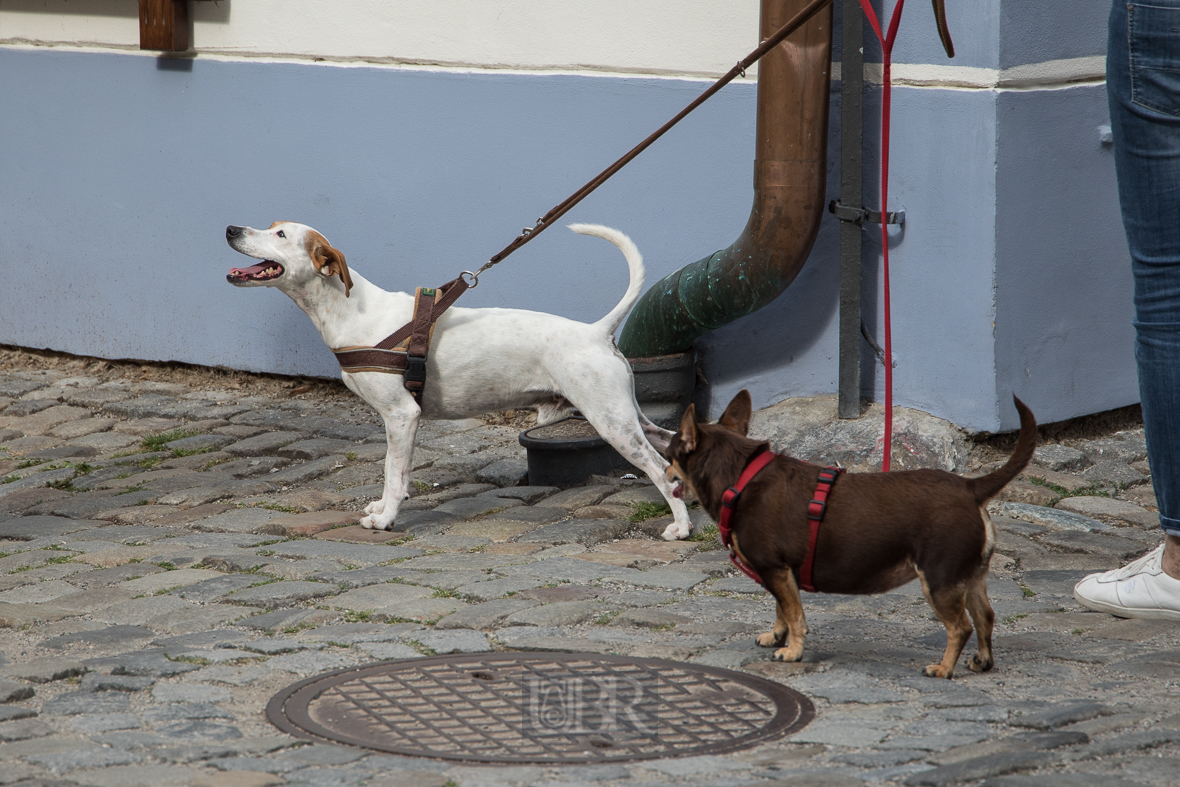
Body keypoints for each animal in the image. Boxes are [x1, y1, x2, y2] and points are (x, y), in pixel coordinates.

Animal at [225, 221, 693, 542]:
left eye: (280, 233)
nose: (231, 229)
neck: (349, 311)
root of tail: (596, 331)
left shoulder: (402, 415)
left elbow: (393, 470)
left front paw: (386, 518)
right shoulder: (401, 421)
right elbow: (394, 472)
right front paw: (385, 506)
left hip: (613, 424)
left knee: (660, 470)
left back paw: (681, 527)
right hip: (628, 417)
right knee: (672, 451)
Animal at [670, 391, 1038, 679]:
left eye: (670, 453)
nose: (665, 471)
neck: (740, 479)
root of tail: (970, 488)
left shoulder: (774, 569)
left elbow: (794, 615)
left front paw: (792, 652)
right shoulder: (780, 573)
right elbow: (782, 610)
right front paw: (776, 637)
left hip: (939, 581)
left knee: (961, 627)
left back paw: (943, 669)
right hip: (971, 577)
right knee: (985, 618)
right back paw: (982, 661)